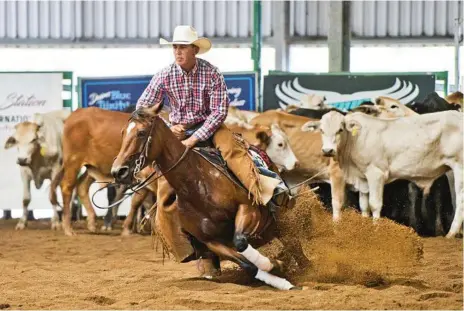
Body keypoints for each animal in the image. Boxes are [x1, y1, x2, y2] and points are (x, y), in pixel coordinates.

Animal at [110, 103, 310, 292]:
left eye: (141, 133)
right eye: (122, 133)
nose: (118, 171)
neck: (198, 185)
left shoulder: (249, 210)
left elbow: (240, 241)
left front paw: (277, 268)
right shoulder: (211, 241)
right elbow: (248, 264)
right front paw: (277, 270)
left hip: (280, 221)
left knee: (296, 247)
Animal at [300, 110, 462, 239]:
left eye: (340, 129)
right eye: (321, 130)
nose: (328, 150)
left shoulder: (376, 174)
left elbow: (374, 204)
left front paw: (376, 231)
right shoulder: (363, 178)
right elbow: (364, 205)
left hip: (459, 167)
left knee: (460, 200)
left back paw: (451, 233)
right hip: (450, 171)